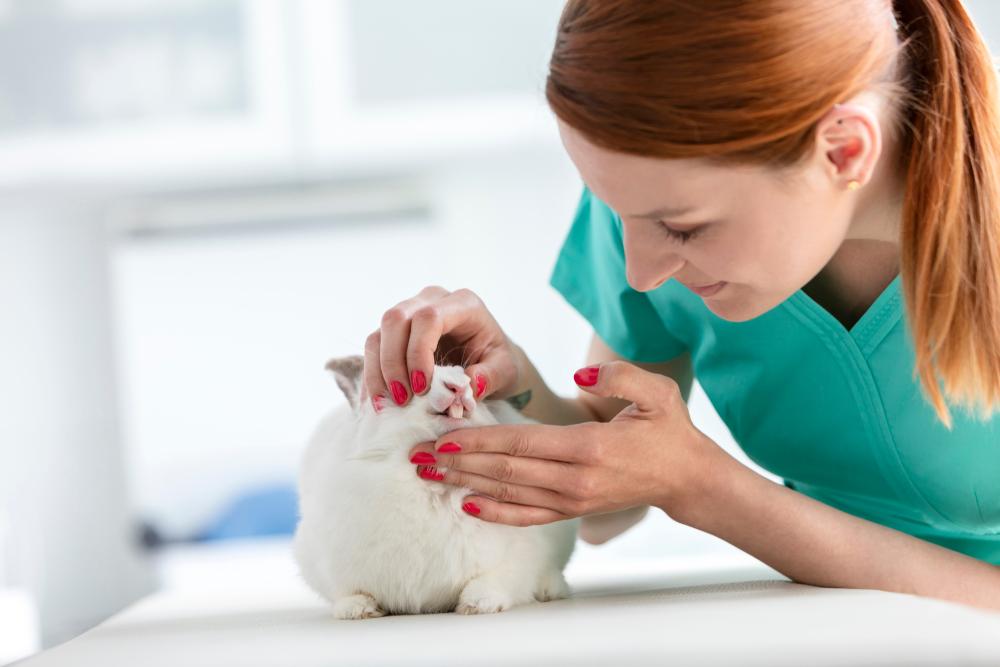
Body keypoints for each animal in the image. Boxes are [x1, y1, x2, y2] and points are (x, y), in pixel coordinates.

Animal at [292, 358, 580, 620]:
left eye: (470, 380)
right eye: (417, 382)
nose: (458, 387)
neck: (431, 487)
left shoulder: (521, 556)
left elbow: (496, 580)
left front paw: (477, 604)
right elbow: (348, 591)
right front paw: (358, 610)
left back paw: (551, 589)